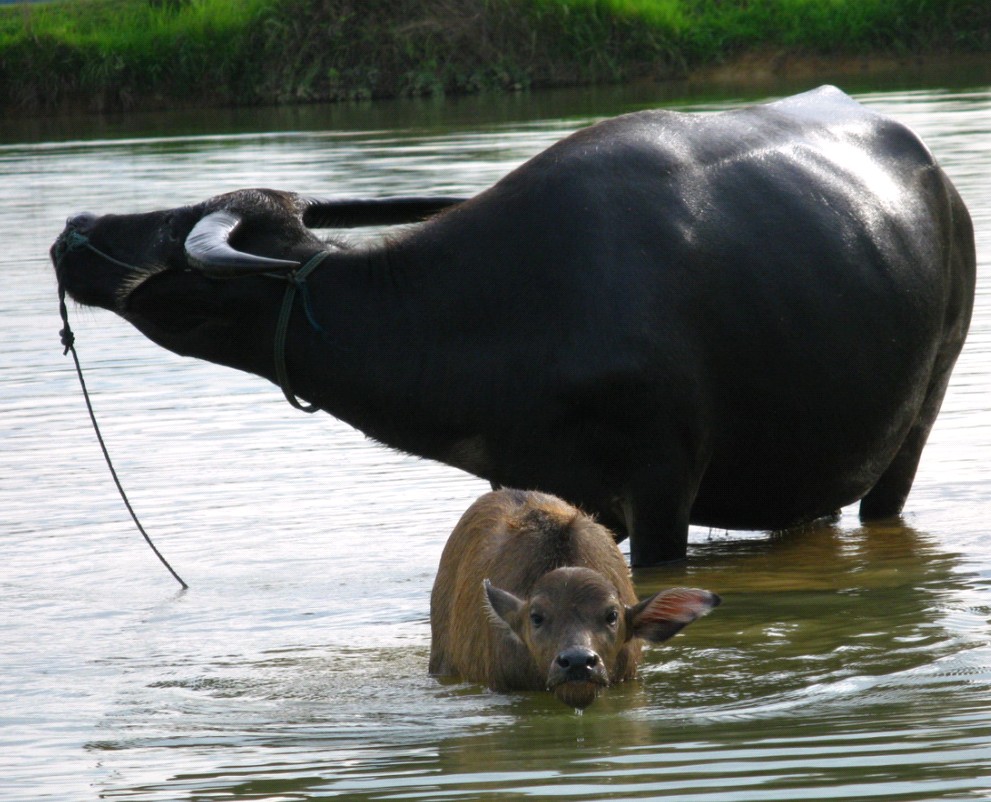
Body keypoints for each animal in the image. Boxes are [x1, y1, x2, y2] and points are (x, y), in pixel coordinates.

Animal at [50, 87, 972, 564]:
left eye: (174, 238)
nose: (72, 231)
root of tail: (941, 186)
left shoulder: (662, 483)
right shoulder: (526, 478)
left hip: (921, 415)